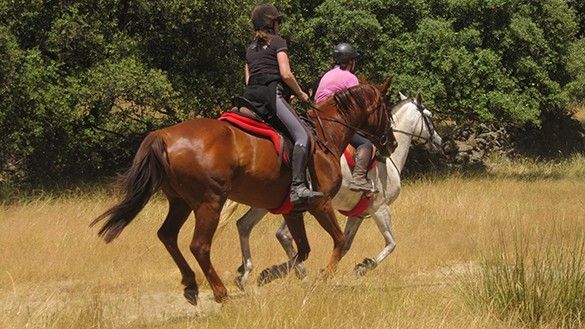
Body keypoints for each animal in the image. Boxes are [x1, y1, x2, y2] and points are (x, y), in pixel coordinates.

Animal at [90, 80, 392, 304]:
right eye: (385, 108)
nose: (390, 143)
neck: (326, 135)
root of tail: (164, 135)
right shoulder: (321, 204)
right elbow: (339, 241)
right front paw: (323, 277)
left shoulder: (293, 210)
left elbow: (302, 250)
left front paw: (269, 274)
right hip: (209, 202)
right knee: (199, 245)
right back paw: (220, 291)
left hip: (180, 202)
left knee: (167, 235)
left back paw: (191, 283)